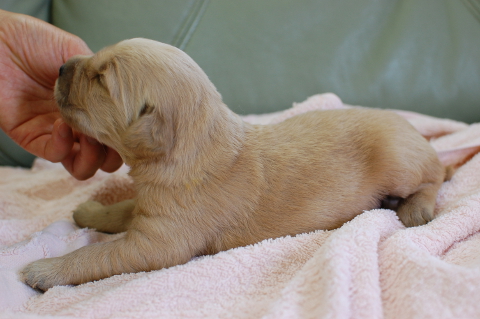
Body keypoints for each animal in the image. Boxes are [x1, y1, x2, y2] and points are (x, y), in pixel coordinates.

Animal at [20, 38, 444, 292]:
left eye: (101, 80)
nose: (60, 67)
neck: (192, 147)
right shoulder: (151, 209)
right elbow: (119, 209)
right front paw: (90, 210)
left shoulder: (156, 243)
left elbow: (97, 255)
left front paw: (45, 270)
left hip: (400, 162)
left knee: (435, 173)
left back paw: (416, 208)